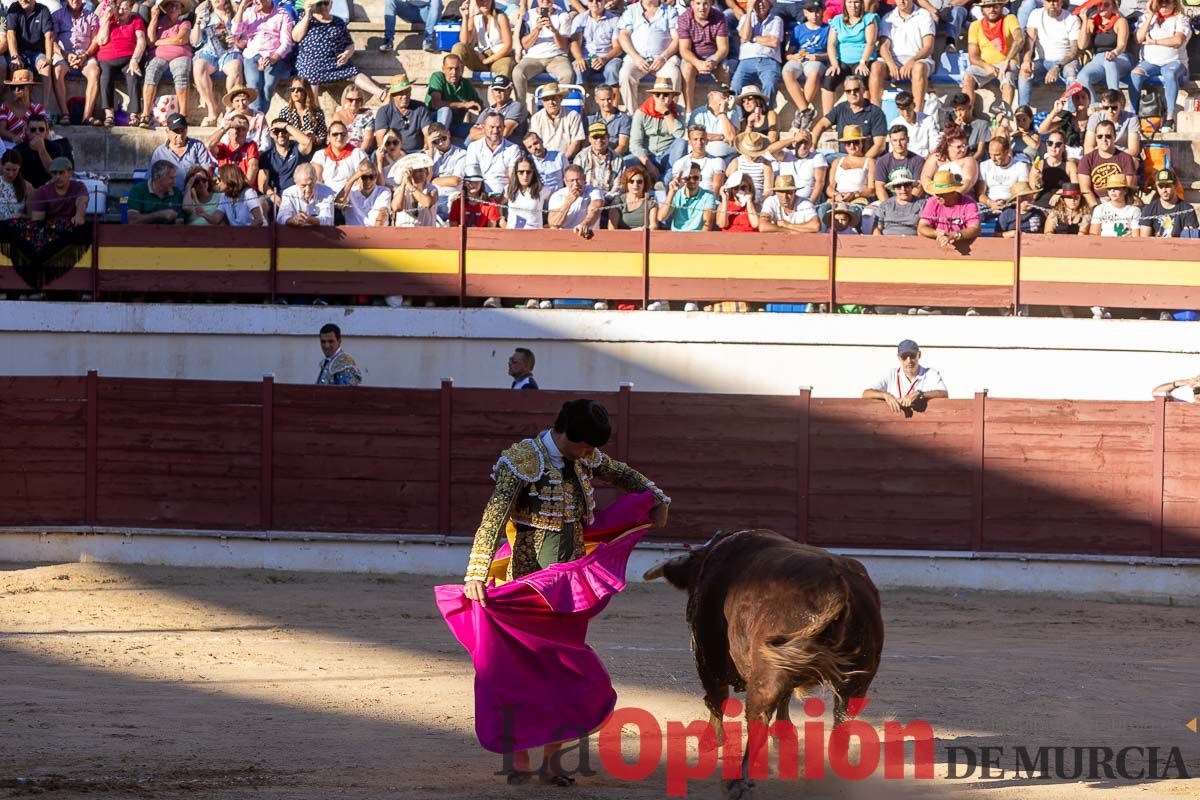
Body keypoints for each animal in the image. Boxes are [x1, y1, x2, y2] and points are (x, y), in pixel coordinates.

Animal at [643, 527, 888, 796]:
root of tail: (838, 586)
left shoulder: (707, 654)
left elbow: (716, 698)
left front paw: (711, 739)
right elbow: (784, 698)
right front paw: (784, 736)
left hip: (767, 674)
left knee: (758, 718)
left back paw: (739, 781)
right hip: (857, 678)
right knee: (842, 720)